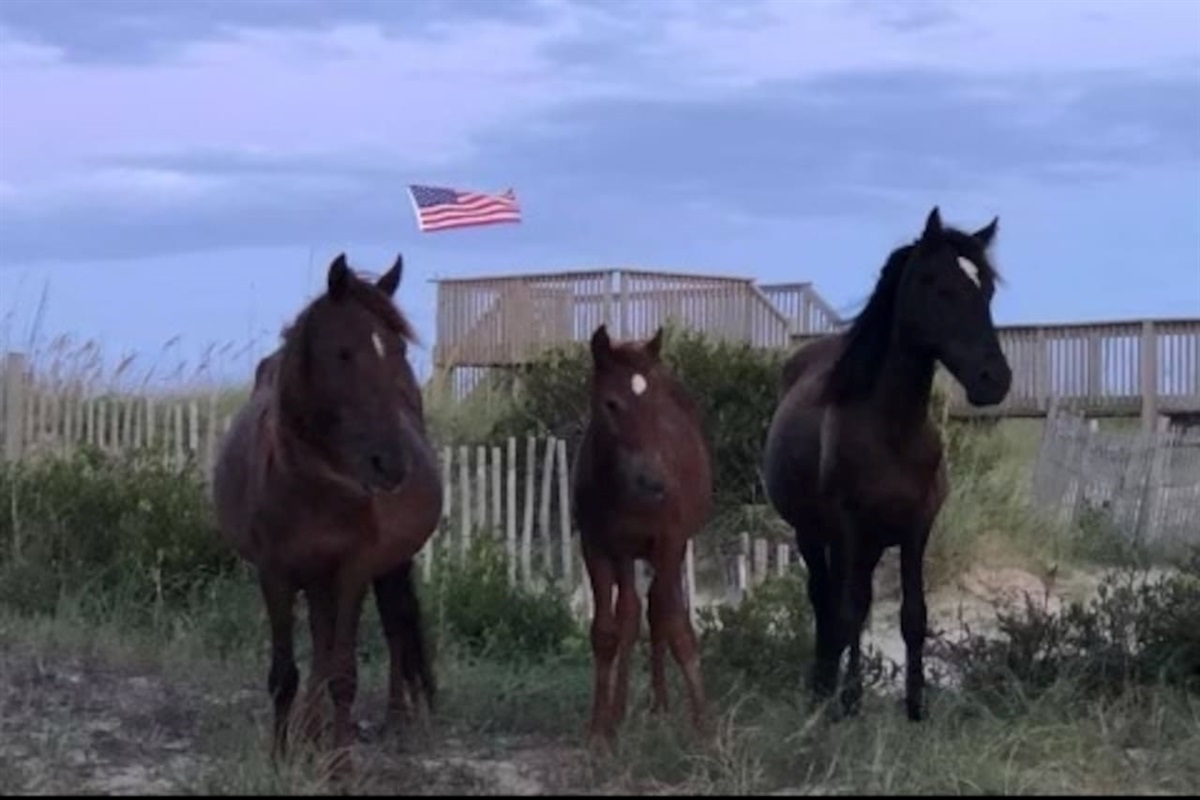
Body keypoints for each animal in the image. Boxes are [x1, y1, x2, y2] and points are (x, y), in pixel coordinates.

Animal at [211, 252, 442, 775]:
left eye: (398, 349)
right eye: (344, 353)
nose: (391, 464)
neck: (312, 483)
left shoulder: (352, 570)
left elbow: (343, 674)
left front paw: (340, 765)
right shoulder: (275, 574)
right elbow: (285, 672)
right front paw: (280, 756)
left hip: (383, 567)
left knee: (394, 624)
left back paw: (389, 718)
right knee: (320, 647)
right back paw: (309, 733)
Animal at [571, 324, 714, 748]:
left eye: (655, 404)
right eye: (611, 403)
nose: (655, 483)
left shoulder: (669, 543)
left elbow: (675, 623)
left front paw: (706, 729)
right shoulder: (598, 547)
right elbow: (607, 631)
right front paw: (599, 729)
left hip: (669, 549)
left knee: (656, 610)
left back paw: (661, 705)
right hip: (626, 553)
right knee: (632, 614)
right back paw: (621, 713)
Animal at [762, 207, 1012, 722]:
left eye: (987, 291)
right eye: (938, 285)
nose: (993, 380)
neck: (893, 431)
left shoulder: (916, 528)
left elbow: (913, 616)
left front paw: (915, 708)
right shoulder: (852, 529)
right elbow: (851, 611)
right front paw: (850, 700)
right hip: (813, 533)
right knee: (826, 602)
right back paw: (824, 687)